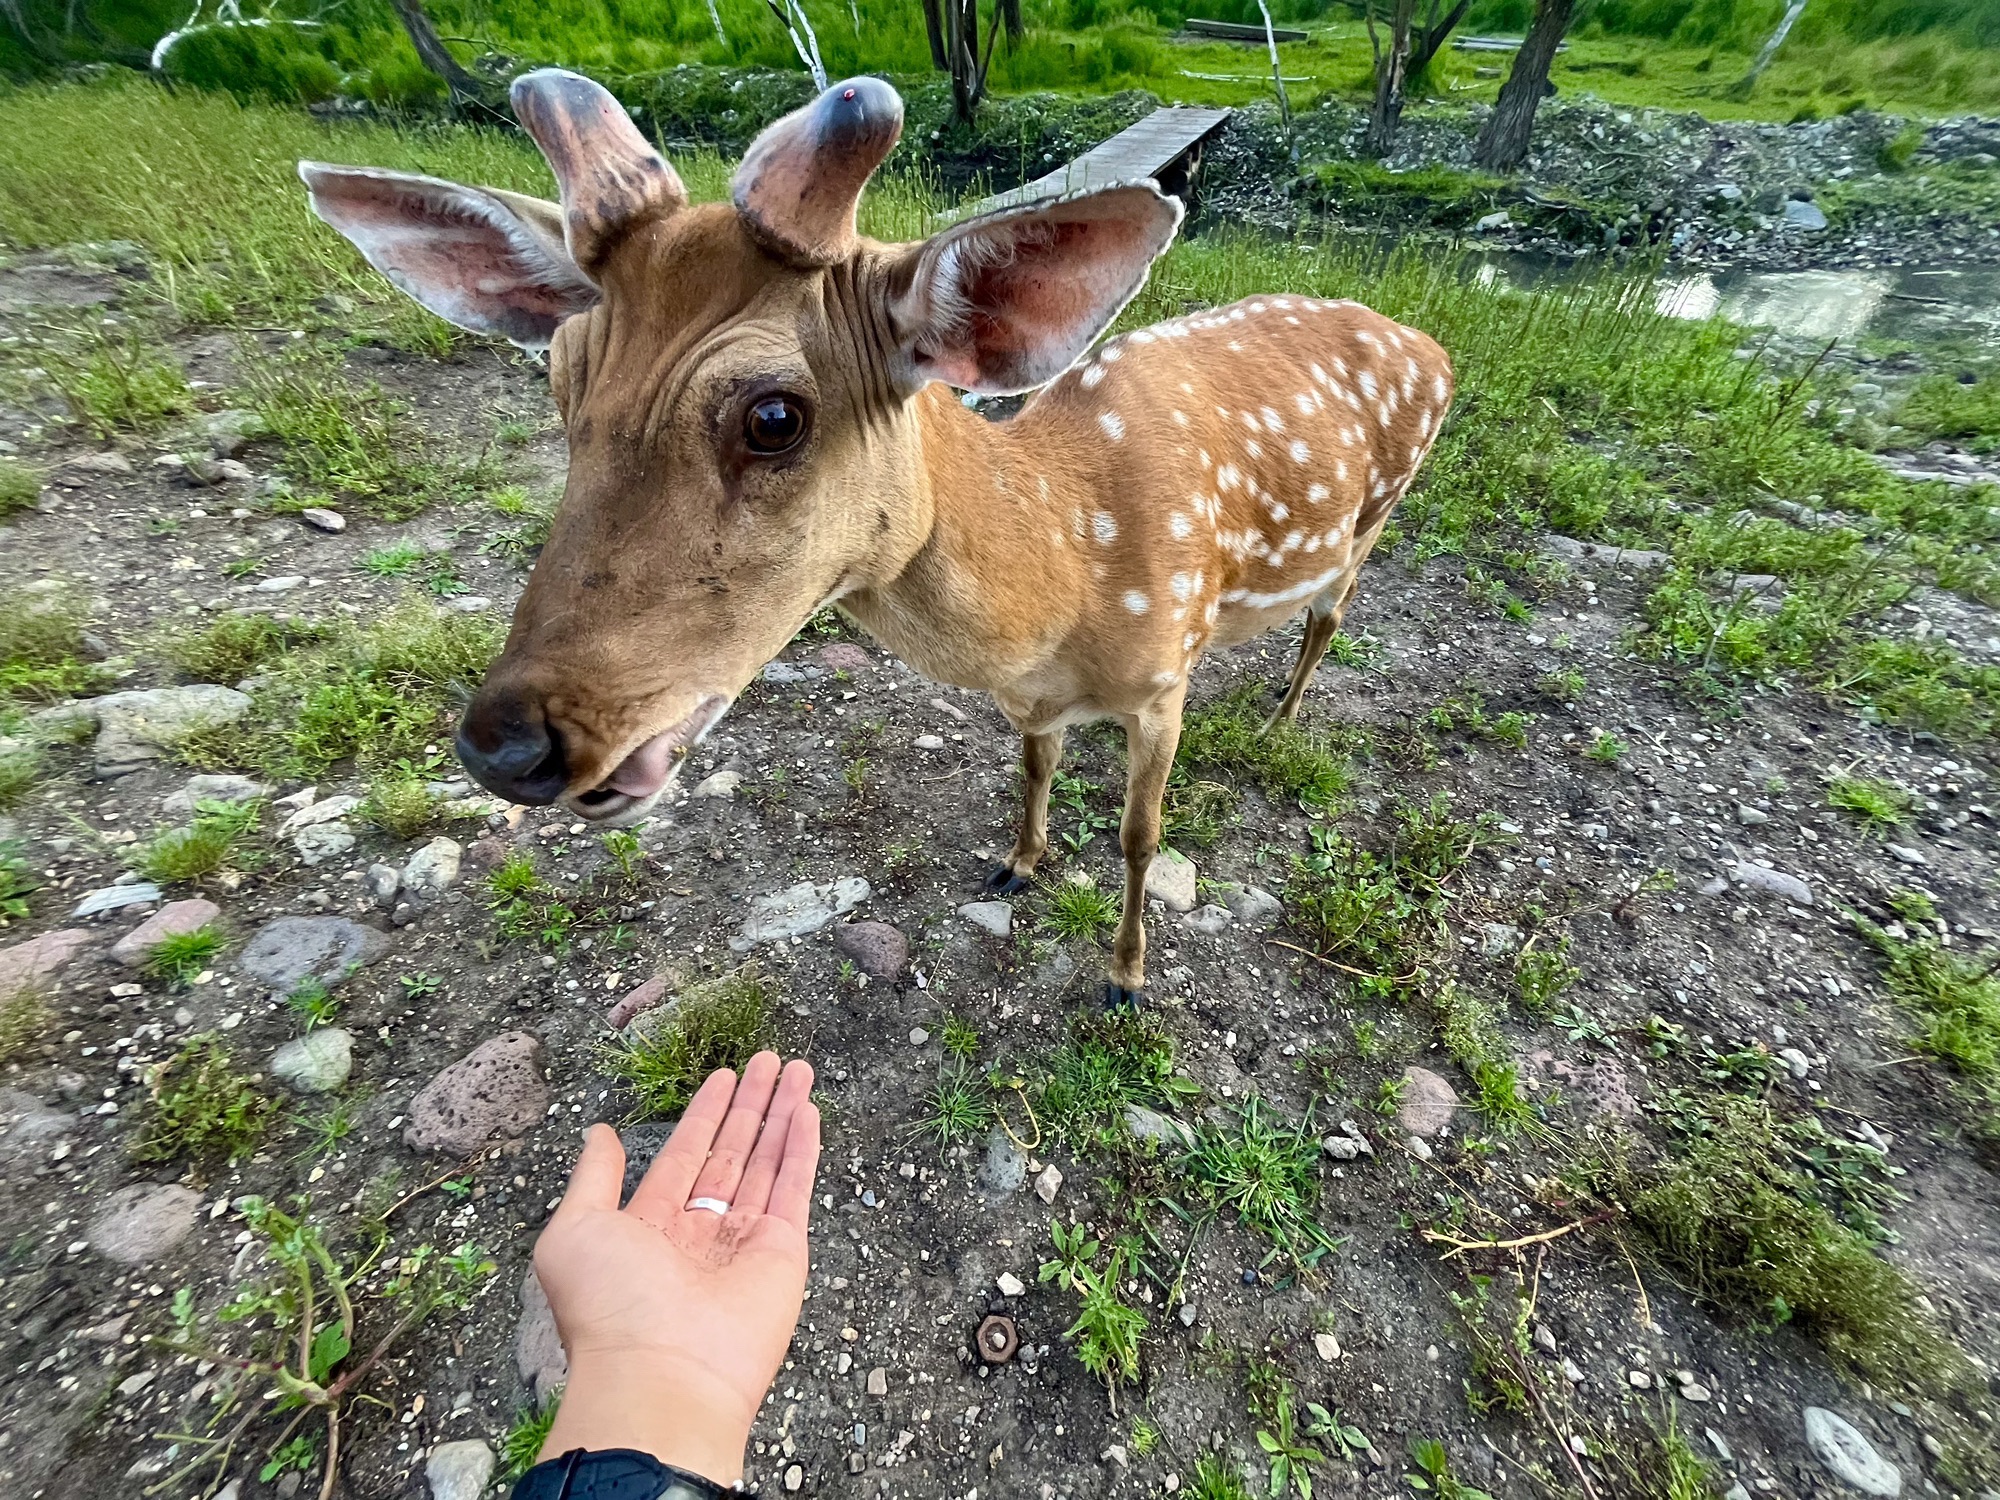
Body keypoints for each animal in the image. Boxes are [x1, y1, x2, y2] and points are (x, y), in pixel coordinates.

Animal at [300, 68, 1453, 1006]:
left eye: (774, 415)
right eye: (559, 381)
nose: (506, 745)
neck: (1069, 579)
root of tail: (1431, 346)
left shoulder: (1166, 668)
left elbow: (1139, 837)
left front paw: (1124, 977)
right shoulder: (1033, 701)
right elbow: (1031, 769)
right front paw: (1019, 861)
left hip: (1379, 511)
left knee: (1331, 616)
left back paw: (1279, 721)